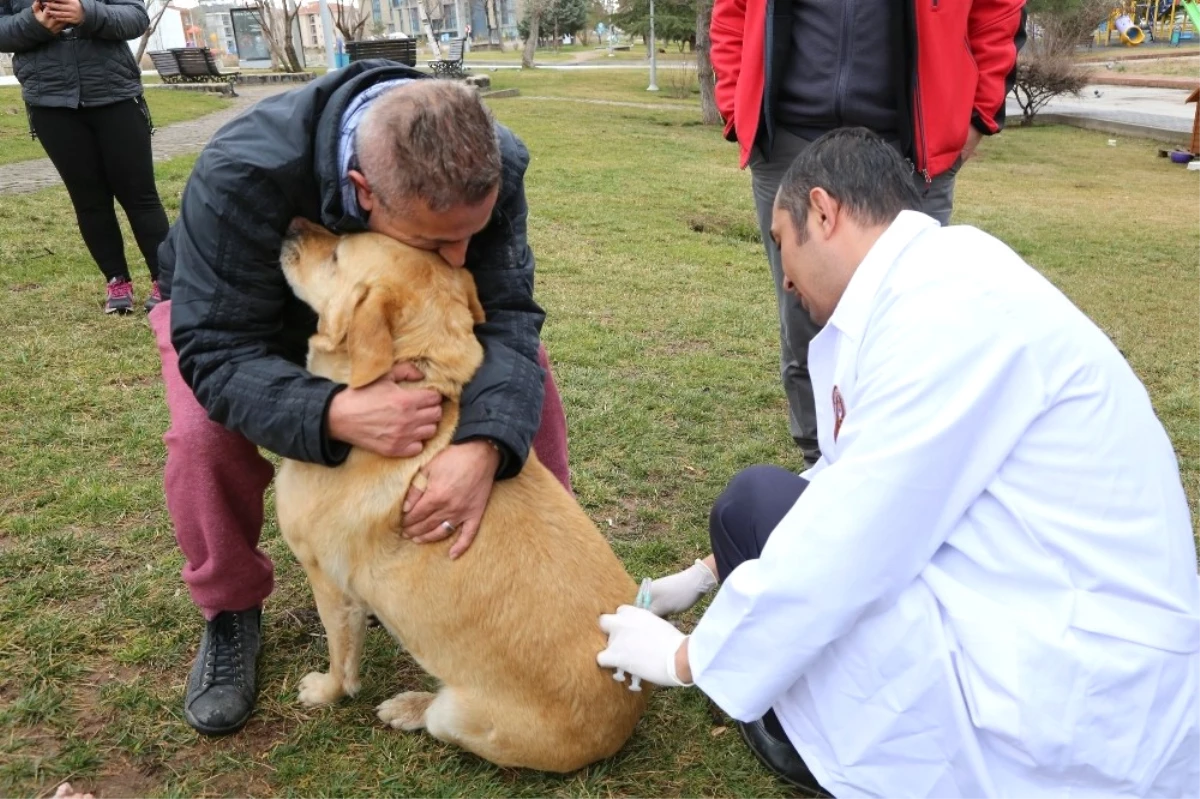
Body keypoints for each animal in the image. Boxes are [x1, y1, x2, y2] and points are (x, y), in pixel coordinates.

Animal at [274, 219, 648, 772]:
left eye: (338, 253)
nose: (294, 223)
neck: (419, 383)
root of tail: (626, 720)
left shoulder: (331, 585)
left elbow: (343, 662)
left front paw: (325, 693)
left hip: (456, 714)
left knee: (437, 720)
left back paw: (409, 707)